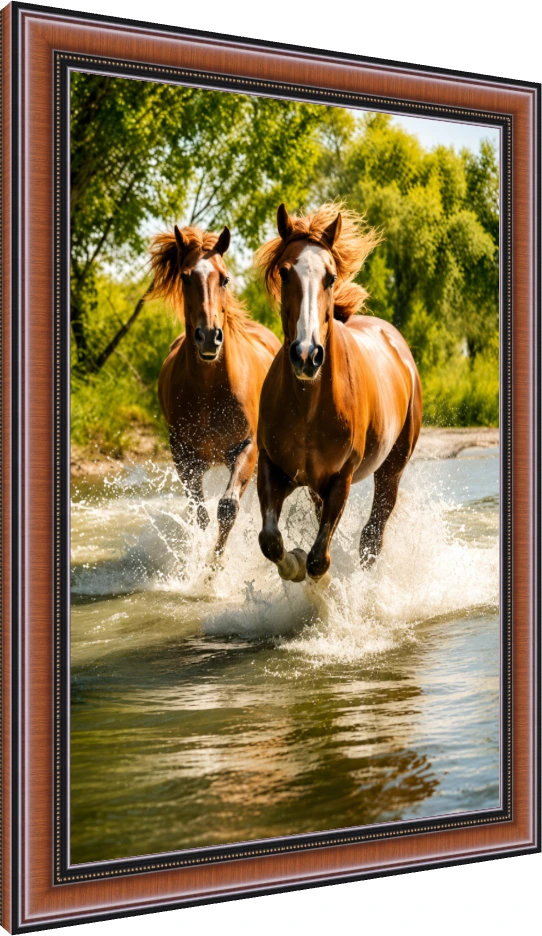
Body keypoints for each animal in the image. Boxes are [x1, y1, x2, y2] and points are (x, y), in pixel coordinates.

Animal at [150, 224, 281, 556]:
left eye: (224, 278)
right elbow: (201, 514)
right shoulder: (184, 457)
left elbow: (227, 508)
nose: (209, 336)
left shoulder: (247, 447)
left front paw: (215, 563)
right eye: (185, 277)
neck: (210, 390)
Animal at [255, 203, 422, 583]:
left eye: (330, 277)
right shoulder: (273, 467)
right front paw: (294, 564)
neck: (308, 405)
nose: (306, 354)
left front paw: (321, 581)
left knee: (372, 536)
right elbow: (270, 540)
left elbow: (320, 558)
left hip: (391, 469)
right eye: (285, 272)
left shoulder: (339, 479)